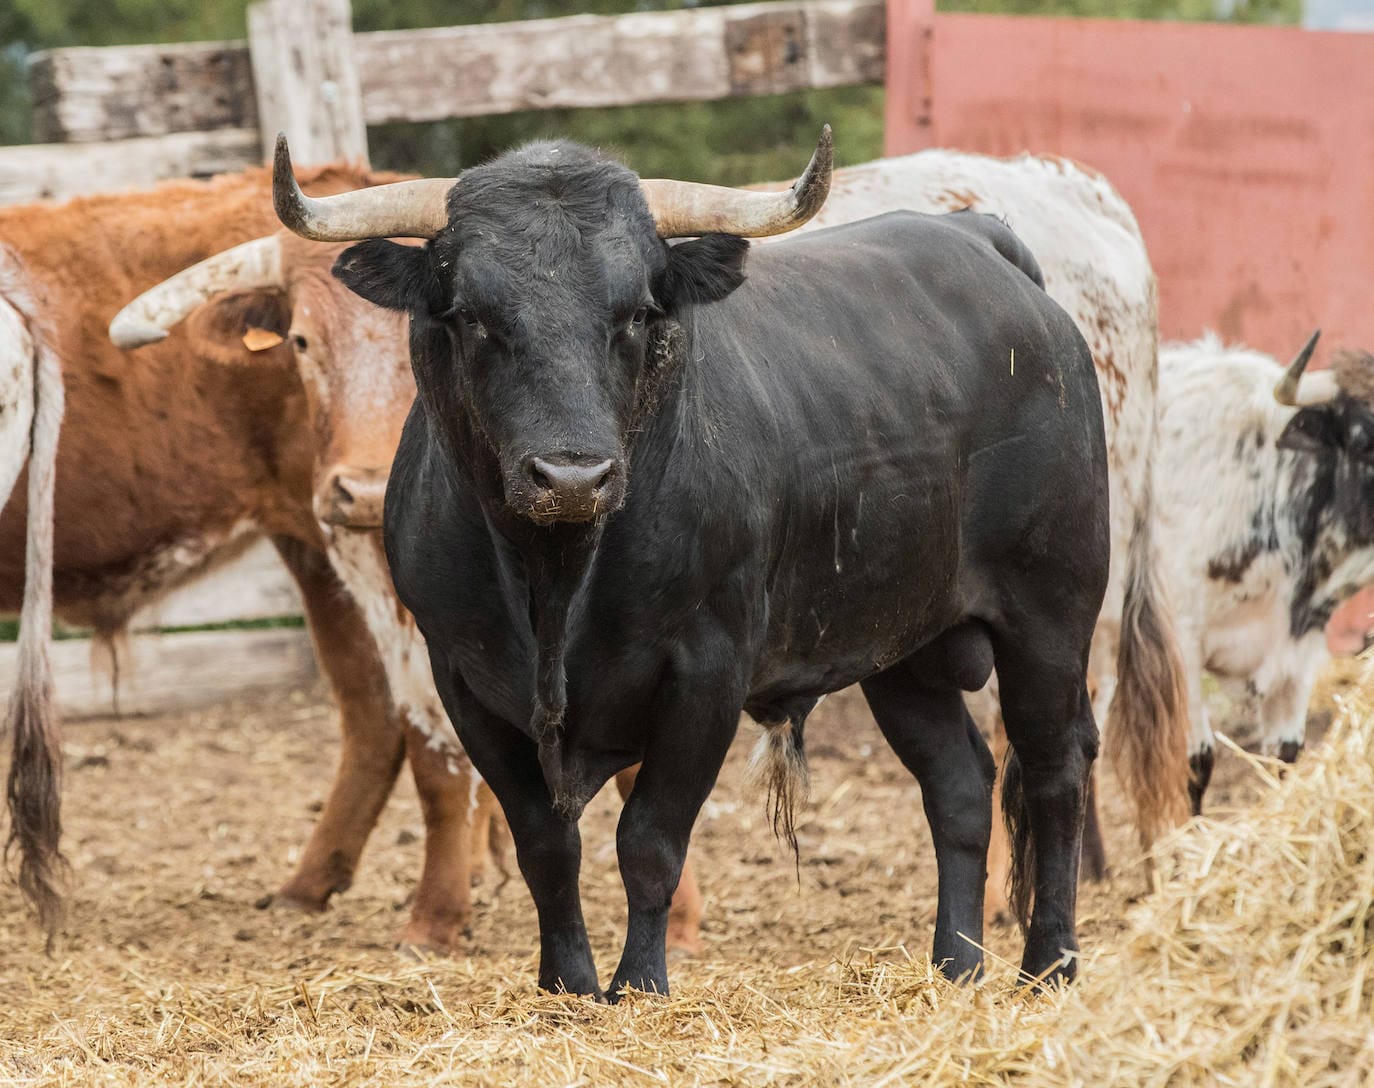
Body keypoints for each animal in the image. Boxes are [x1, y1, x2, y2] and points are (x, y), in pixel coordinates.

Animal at [327, 151, 1110, 994]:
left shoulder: (705, 672)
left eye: (637, 312)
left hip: (1051, 612)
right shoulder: (464, 681)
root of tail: (981, 242)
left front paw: (639, 986)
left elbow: (649, 841)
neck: (555, 577)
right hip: (905, 647)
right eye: (473, 315)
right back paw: (955, 966)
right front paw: (566, 985)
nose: (572, 477)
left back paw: (1050, 965)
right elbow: (545, 845)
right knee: (959, 784)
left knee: (1055, 769)